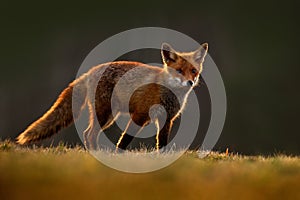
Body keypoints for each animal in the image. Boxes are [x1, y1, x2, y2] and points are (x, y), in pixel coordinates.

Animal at [15, 42, 209, 150]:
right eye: (179, 71)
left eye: (193, 71)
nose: (190, 82)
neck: (167, 92)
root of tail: (89, 72)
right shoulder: (139, 116)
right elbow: (124, 140)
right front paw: (118, 155)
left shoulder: (166, 119)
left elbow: (161, 143)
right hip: (104, 114)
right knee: (90, 134)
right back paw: (98, 154)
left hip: (108, 116)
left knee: (87, 133)